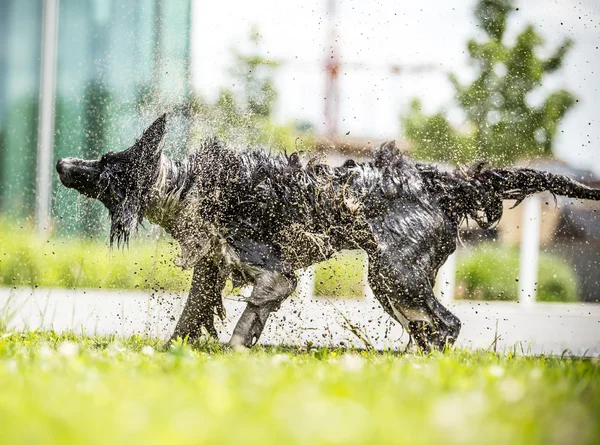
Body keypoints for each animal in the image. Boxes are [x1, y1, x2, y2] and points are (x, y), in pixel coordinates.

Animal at [56, 114, 600, 350]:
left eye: (105, 165)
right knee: (429, 328)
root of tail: (439, 181)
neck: (186, 185)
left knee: (446, 325)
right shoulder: (211, 268)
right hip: (391, 283)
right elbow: (189, 321)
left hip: (396, 274)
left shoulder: (275, 273)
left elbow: (244, 323)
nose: (62, 163)